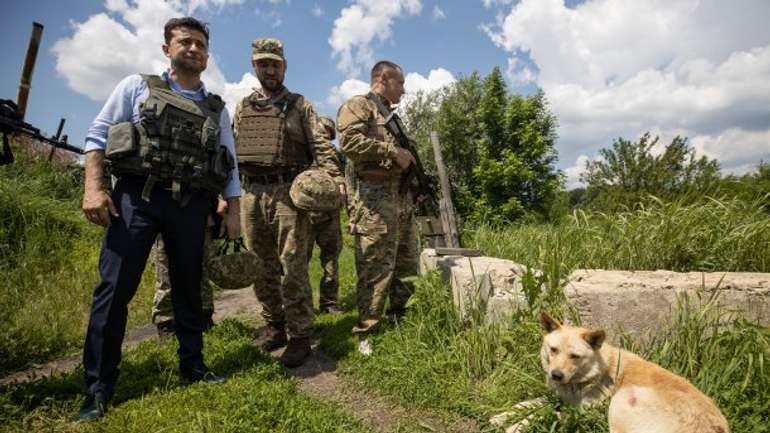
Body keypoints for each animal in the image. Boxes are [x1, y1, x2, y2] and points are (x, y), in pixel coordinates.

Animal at [536, 312, 728, 430]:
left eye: (574, 356)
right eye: (553, 350)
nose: (556, 375)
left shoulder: (582, 410)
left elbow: (551, 412)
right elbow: (533, 402)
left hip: (622, 398)